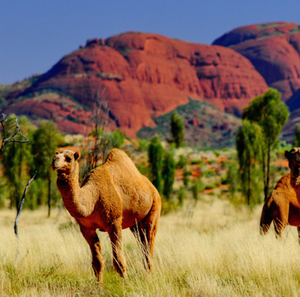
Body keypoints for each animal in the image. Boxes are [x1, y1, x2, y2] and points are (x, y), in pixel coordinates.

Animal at [51, 148, 162, 284]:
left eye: (68, 158)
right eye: (57, 154)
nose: (54, 160)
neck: (93, 198)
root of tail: (152, 187)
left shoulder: (114, 222)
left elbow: (119, 260)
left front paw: (126, 284)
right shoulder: (86, 228)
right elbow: (97, 262)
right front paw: (99, 286)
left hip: (154, 209)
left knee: (148, 244)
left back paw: (146, 280)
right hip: (135, 225)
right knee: (142, 243)